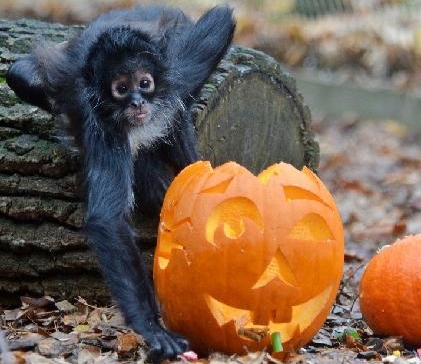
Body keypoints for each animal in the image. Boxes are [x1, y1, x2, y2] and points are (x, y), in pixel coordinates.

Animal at [6, 6, 235, 362]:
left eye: (144, 83)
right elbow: (107, 221)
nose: (138, 102)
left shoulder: (174, 73)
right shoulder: (101, 125)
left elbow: (221, 17)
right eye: (121, 89)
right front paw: (153, 327)